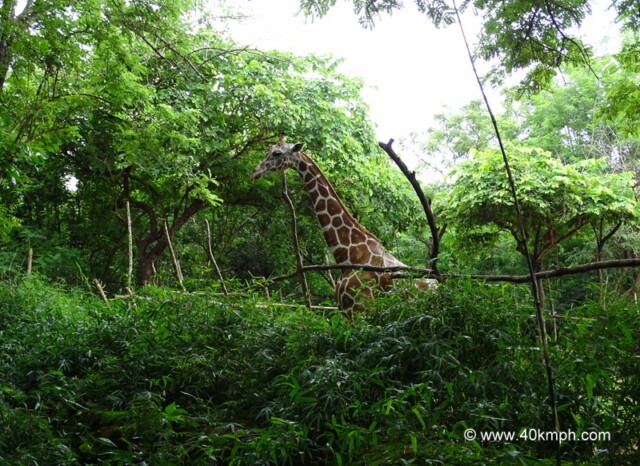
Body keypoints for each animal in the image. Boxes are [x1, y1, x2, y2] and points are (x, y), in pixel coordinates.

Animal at [250, 135, 436, 316]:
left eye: (277, 153)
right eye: (268, 150)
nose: (254, 173)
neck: (348, 253)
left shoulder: (360, 309)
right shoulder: (346, 311)